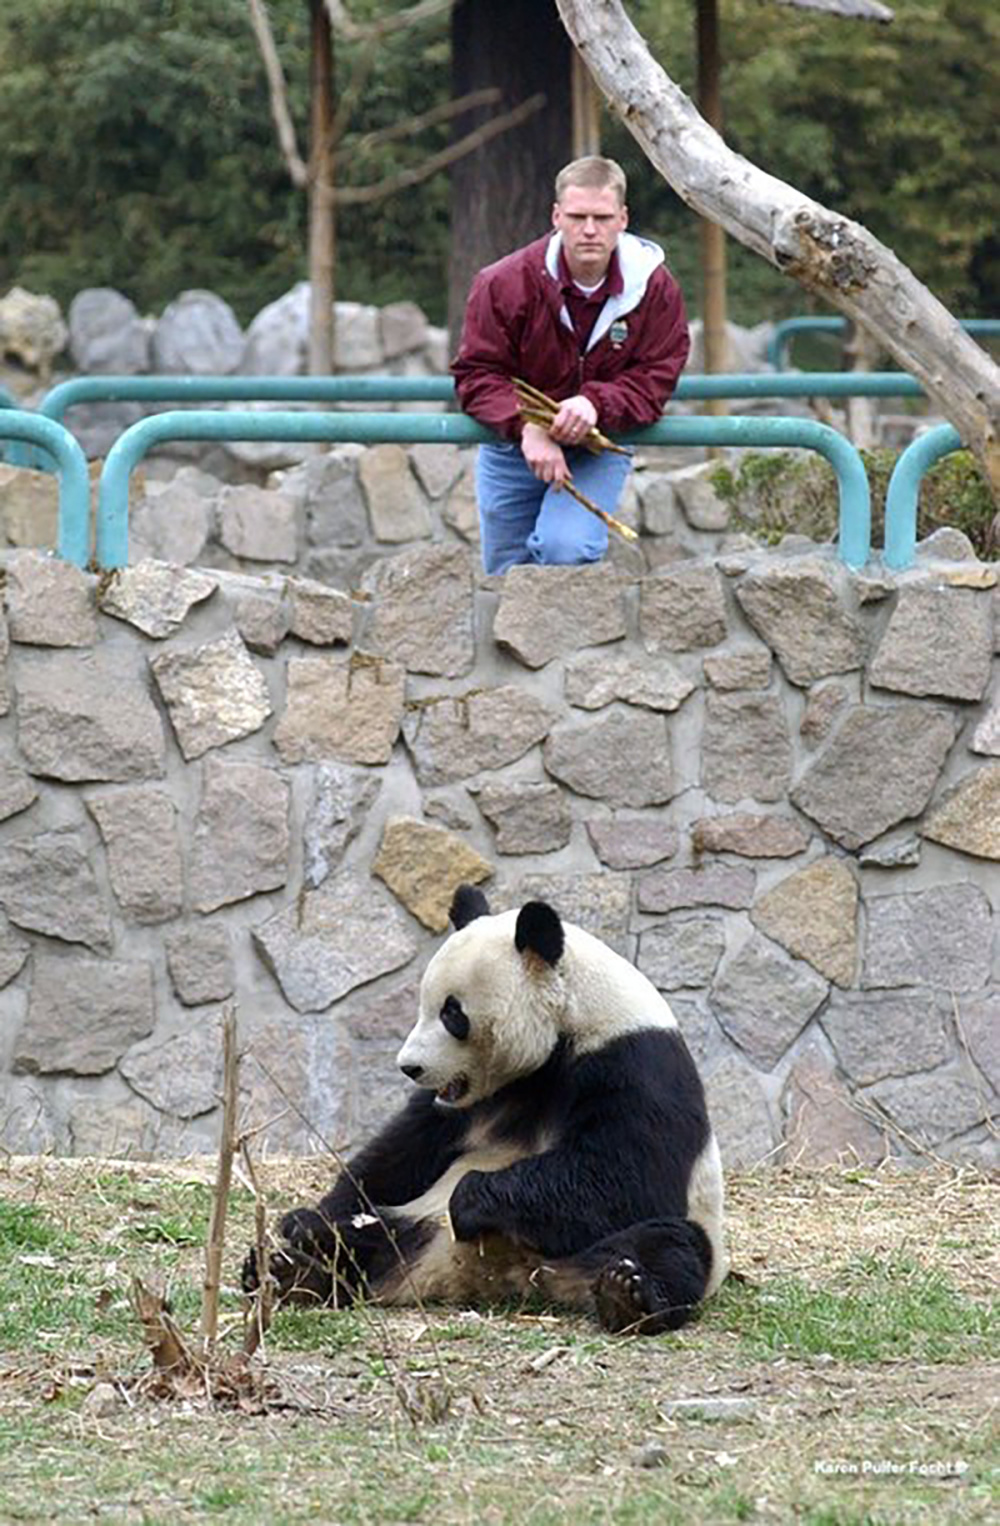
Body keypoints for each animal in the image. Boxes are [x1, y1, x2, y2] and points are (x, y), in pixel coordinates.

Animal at [242, 885, 726, 1336]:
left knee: (670, 1244)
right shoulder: (462, 1103)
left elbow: (626, 1176)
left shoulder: (635, 1061)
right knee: (367, 1240)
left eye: (452, 1013)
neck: (567, 1024)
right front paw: (312, 1215)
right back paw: (299, 1264)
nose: (409, 1066)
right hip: (414, 1219)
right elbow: (401, 1150)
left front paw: (472, 1199)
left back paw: (627, 1295)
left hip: (659, 1236)